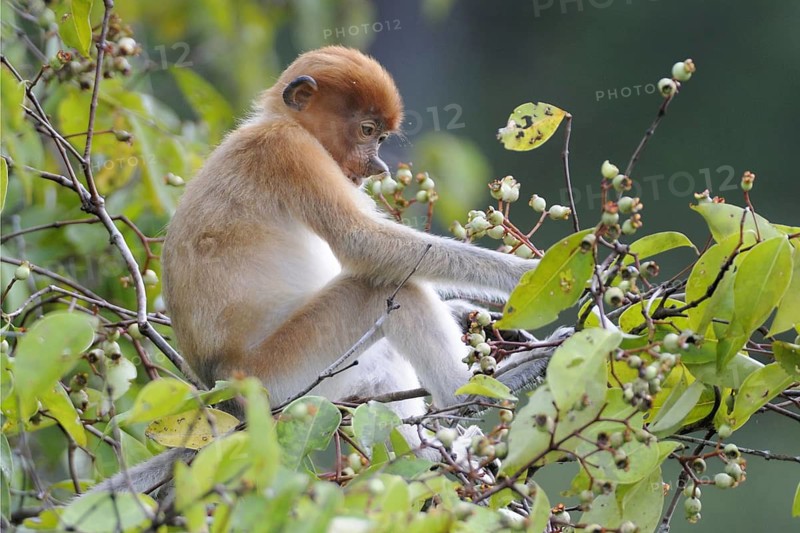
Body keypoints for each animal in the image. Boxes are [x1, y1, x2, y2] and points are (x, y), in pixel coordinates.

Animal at [89, 46, 558, 495]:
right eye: (367, 130)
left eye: (381, 136)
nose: (377, 168)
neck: (281, 121)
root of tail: (225, 397)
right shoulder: (290, 151)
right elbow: (365, 244)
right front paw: (529, 273)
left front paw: (470, 313)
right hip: (281, 377)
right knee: (383, 290)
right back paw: (469, 398)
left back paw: (438, 452)